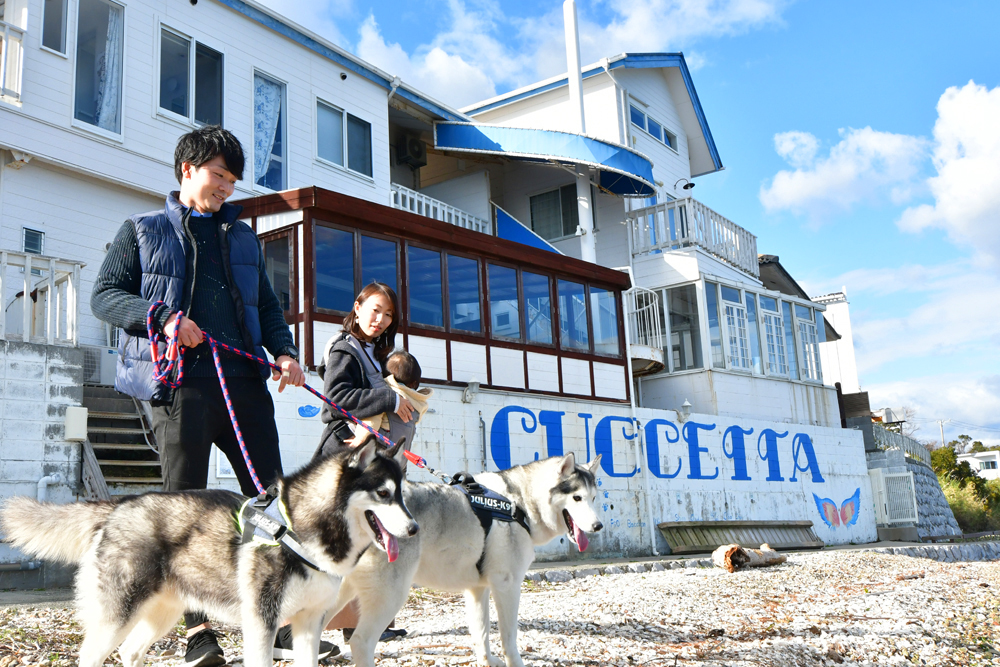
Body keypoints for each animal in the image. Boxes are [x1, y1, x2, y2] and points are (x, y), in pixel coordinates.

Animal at [0, 444, 414, 667]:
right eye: (382, 494)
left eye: (402, 493)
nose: (413, 529)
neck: (299, 526)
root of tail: (121, 504)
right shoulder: (261, 624)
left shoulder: (308, 623)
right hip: (116, 615)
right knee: (91, 655)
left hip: (161, 612)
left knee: (131, 650)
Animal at [334, 454, 600, 667]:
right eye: (577, 498)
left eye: (593, 498)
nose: (599, 526)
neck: (519, 503)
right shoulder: (508, 586)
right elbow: (509, 639)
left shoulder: (477, 589)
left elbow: (481, 634)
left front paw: (487, 661)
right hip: (391, 597)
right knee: (360, 642)